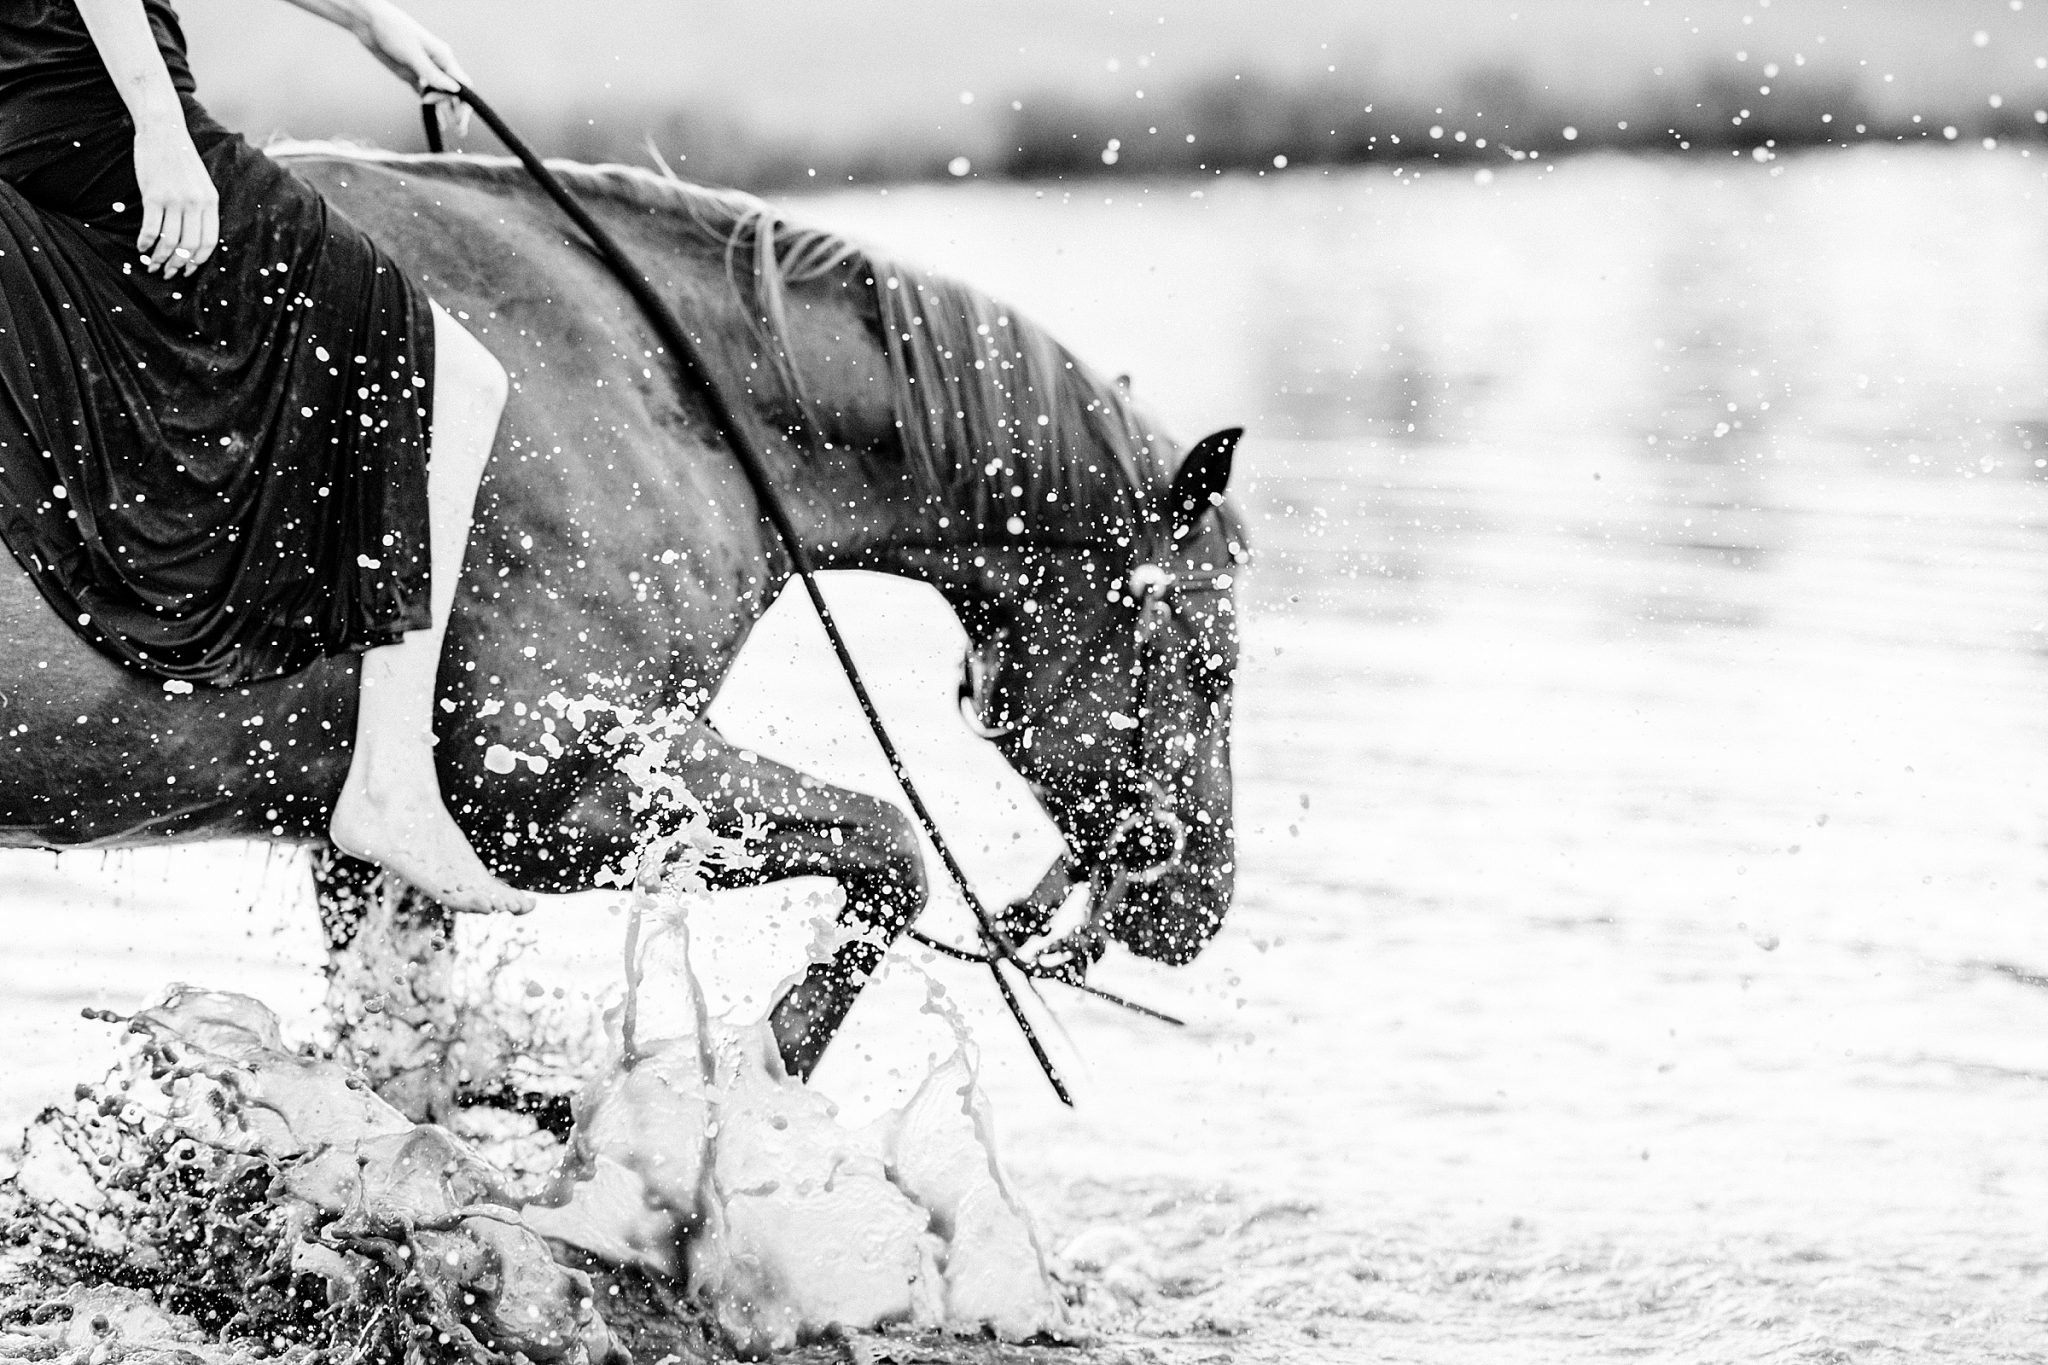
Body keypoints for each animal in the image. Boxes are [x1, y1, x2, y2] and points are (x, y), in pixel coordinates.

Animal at [0, 149, 1245, 1113]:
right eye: (1210, 670)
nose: (1203, 903)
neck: (661, 390)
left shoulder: (368, 855)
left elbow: (408, 1082)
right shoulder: (554, 797)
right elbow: (892, 853)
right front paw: (743, 1094)